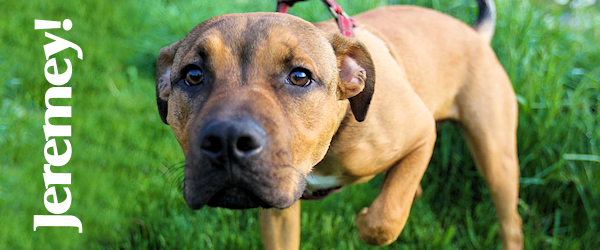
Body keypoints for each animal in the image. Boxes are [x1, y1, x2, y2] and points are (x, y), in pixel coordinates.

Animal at [156, 0, 524, 249]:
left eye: (300, 76)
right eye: (193, 75)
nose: (228, 140)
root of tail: (474, 34)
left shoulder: (422, 133)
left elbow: (384, 220)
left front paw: (366, 220)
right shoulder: (279, 213)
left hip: (496, 159)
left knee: (511, 221)